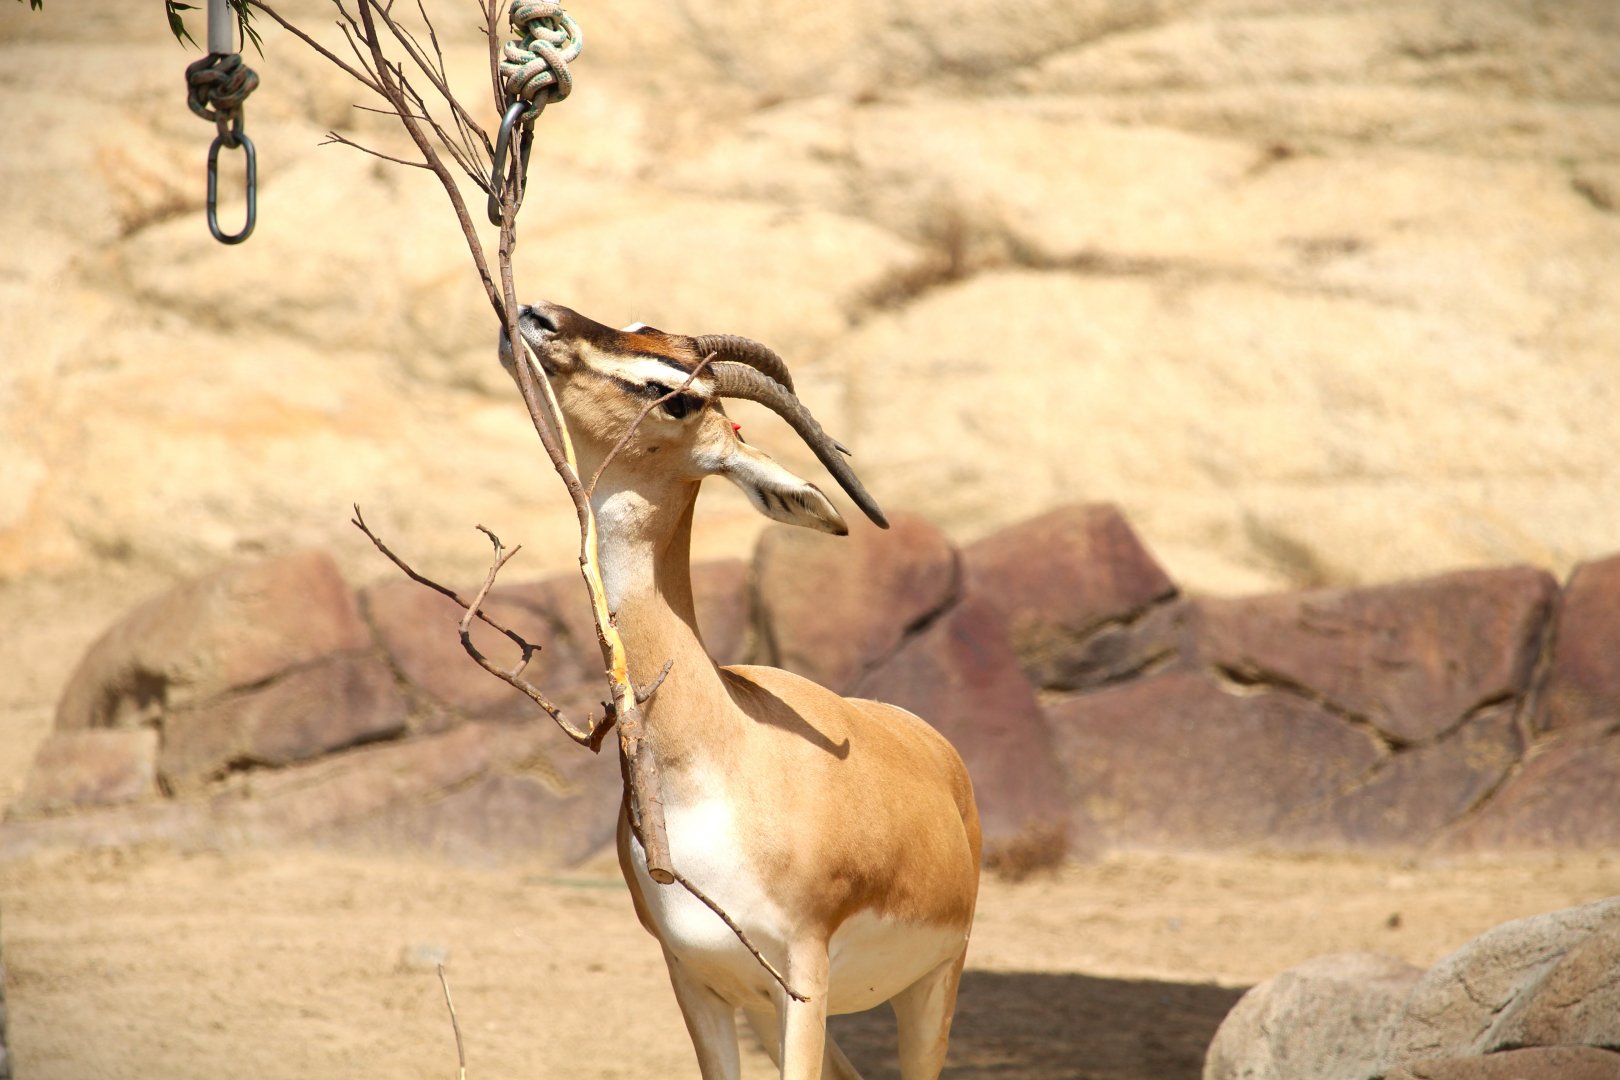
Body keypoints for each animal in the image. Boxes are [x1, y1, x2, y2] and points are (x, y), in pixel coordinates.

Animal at [500, 301, 982, 1079]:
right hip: (761, 999)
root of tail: (931, 745)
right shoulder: (695, 977)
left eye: (676, 394)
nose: (540, 316)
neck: (714, 756)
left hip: (931, 985)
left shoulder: (804, 973)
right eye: (639, 323)